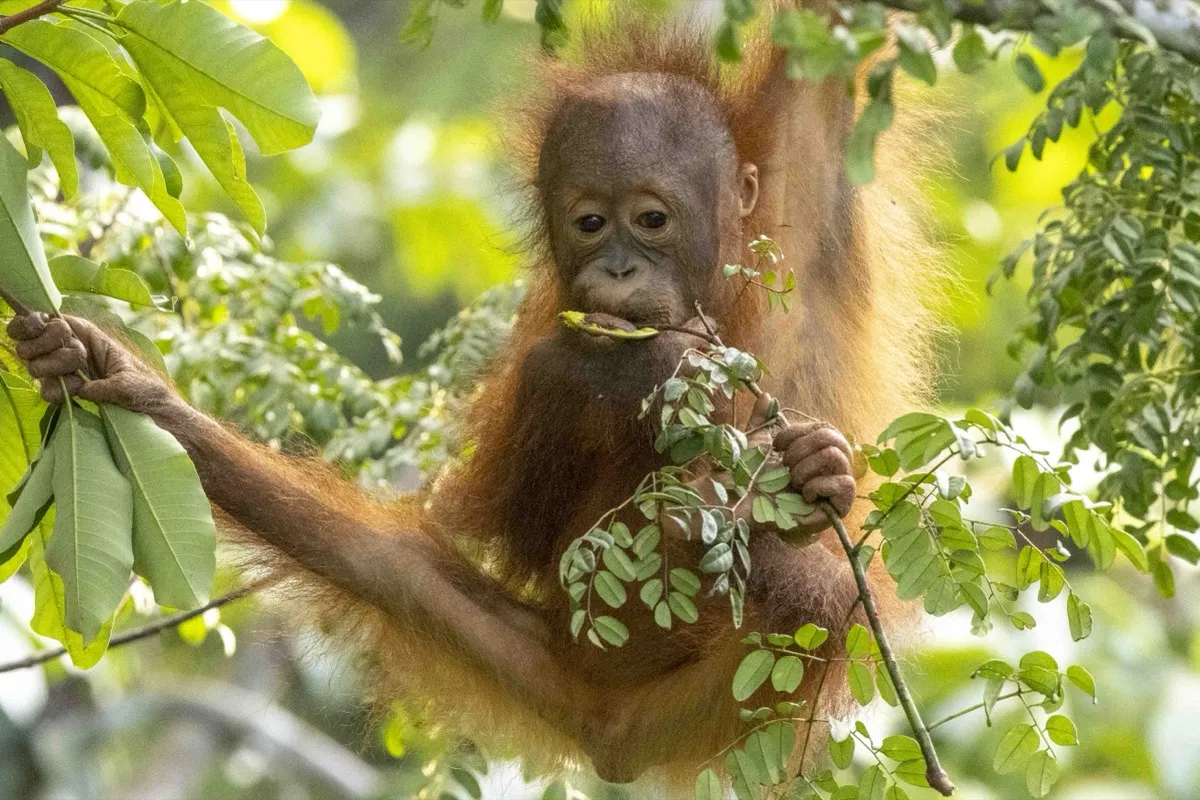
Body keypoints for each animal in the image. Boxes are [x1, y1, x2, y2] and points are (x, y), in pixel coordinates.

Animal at [6, 9, 938, 792]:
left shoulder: (799, 179)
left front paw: (811, 469)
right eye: (590, 223)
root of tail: (609, 728)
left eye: (652, 220)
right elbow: (533, 504)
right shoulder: (557, 330)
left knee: (826, 598)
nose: (618, 271)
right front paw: (652, 376)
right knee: (394, 563)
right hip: (562, 669)